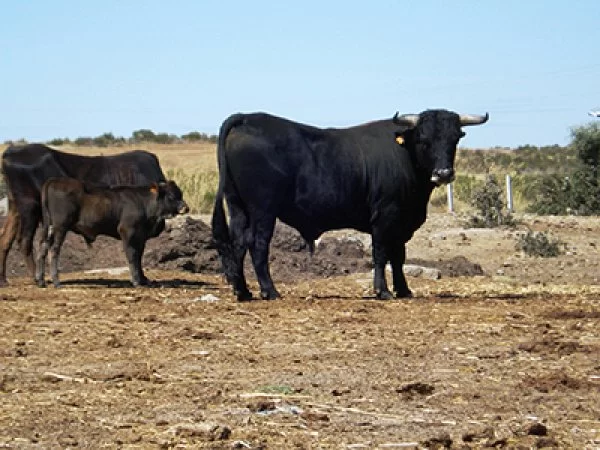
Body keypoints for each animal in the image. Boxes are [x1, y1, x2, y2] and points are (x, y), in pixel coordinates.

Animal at [0, 144, 166, 284]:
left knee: (5, 239)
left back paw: (4, 280)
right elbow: (137, 252)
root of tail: (12, 151)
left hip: (15, 208)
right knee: (24, 241)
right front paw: (142, 279)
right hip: (29, 208)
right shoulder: (137, 228)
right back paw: (37, 278)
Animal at [36, 178, 189, 286]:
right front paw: (136, 280)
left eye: (180, 194)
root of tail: (54, 180)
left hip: (49, 228)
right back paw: (56, 281)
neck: (144, 203)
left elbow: (139, 256)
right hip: (60, 227)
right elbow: (132, 255)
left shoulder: (141, 237)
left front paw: (143, 279)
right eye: (170, 196)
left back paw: (40, 280)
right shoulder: (127, 232)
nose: (186, 208)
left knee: (43, 247)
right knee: (54, 250)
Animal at [213, 108, 490, 302]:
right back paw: (269, 291)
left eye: (455, 138)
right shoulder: (385, 217)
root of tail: (247, 118)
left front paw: (403, 290)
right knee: (257, 245)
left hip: (238, 207)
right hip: (263, 211)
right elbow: (381, 254)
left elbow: (398, 257)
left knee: (237, 243)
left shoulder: (401, 223)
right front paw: (383, 291)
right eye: (424, 139)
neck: (405, 153)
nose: (443, 173)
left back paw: (243, 291)